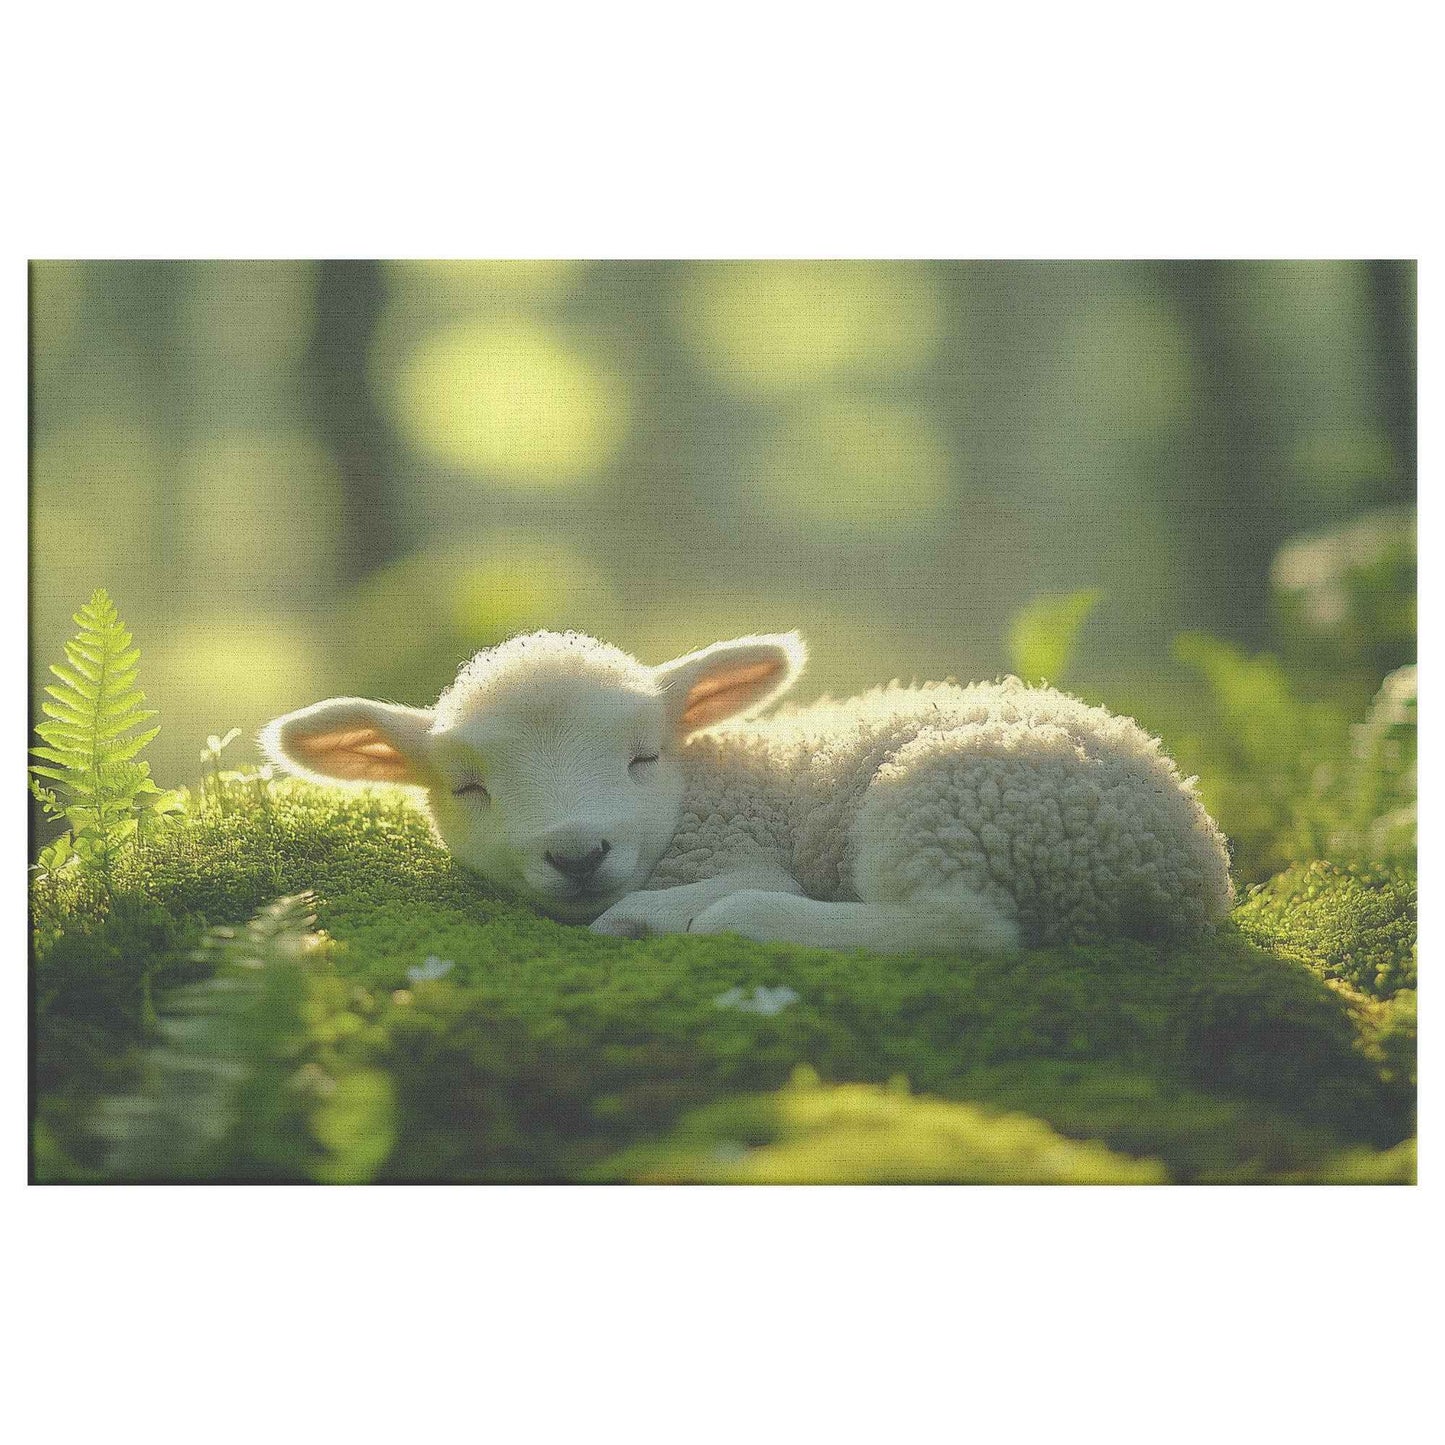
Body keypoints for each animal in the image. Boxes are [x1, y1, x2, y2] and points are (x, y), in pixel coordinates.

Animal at [261, 630, 1234, 954]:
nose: (578, 853)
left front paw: (644, 914)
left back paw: (738, 920)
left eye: (643, 757)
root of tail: (1187, 861)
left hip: (948, 796)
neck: (709, 781)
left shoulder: (744, 848)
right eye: (468, 787)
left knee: (964, 925)